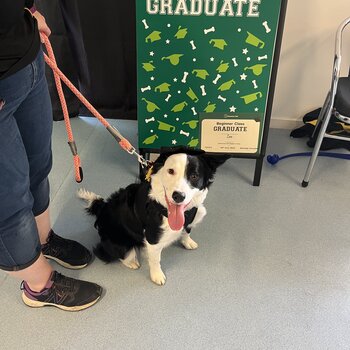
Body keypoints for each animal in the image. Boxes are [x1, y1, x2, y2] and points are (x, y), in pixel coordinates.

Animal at [78, 148, 228, 284]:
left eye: (194, 176)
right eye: (171, 171)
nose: (178, 196)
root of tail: (102, 210)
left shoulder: (191, 217)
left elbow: (187, 231)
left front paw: (187, 242)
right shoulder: (152, 238)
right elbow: (156, 259)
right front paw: (157, 275)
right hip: (118, 242)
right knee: (113, 253)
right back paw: (131, 261)